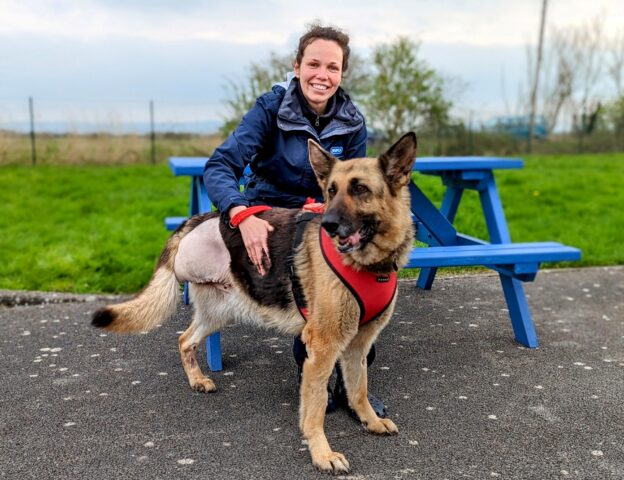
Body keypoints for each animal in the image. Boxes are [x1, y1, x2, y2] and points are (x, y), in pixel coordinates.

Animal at [92, 131, 416, 472]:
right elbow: (314, 408)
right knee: (184, 338)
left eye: (360, 189)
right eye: (331, 191)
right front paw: (321, 453)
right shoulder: (324, 346)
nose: (327, 224)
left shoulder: (358, 344)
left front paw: (369, 420)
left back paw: (197, 379)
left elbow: (358, 389)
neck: (371, 265)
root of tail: (199, 219)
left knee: (184, 339)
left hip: (219, 313)